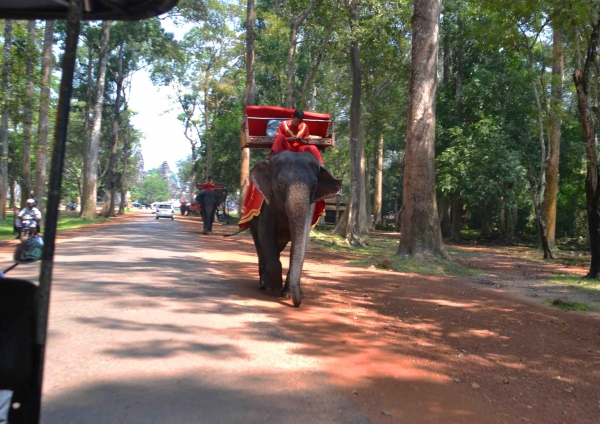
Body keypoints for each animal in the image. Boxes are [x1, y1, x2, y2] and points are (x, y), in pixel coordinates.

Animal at [248, 151, 342, 306]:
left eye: (314, 186)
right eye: (280, 184)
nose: (297, 303)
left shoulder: (311, 207)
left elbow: (303, 239)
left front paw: (287, 294)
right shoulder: (267, 205)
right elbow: (265, 233)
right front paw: (272, 287)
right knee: (259, 244)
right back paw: (262, 284)